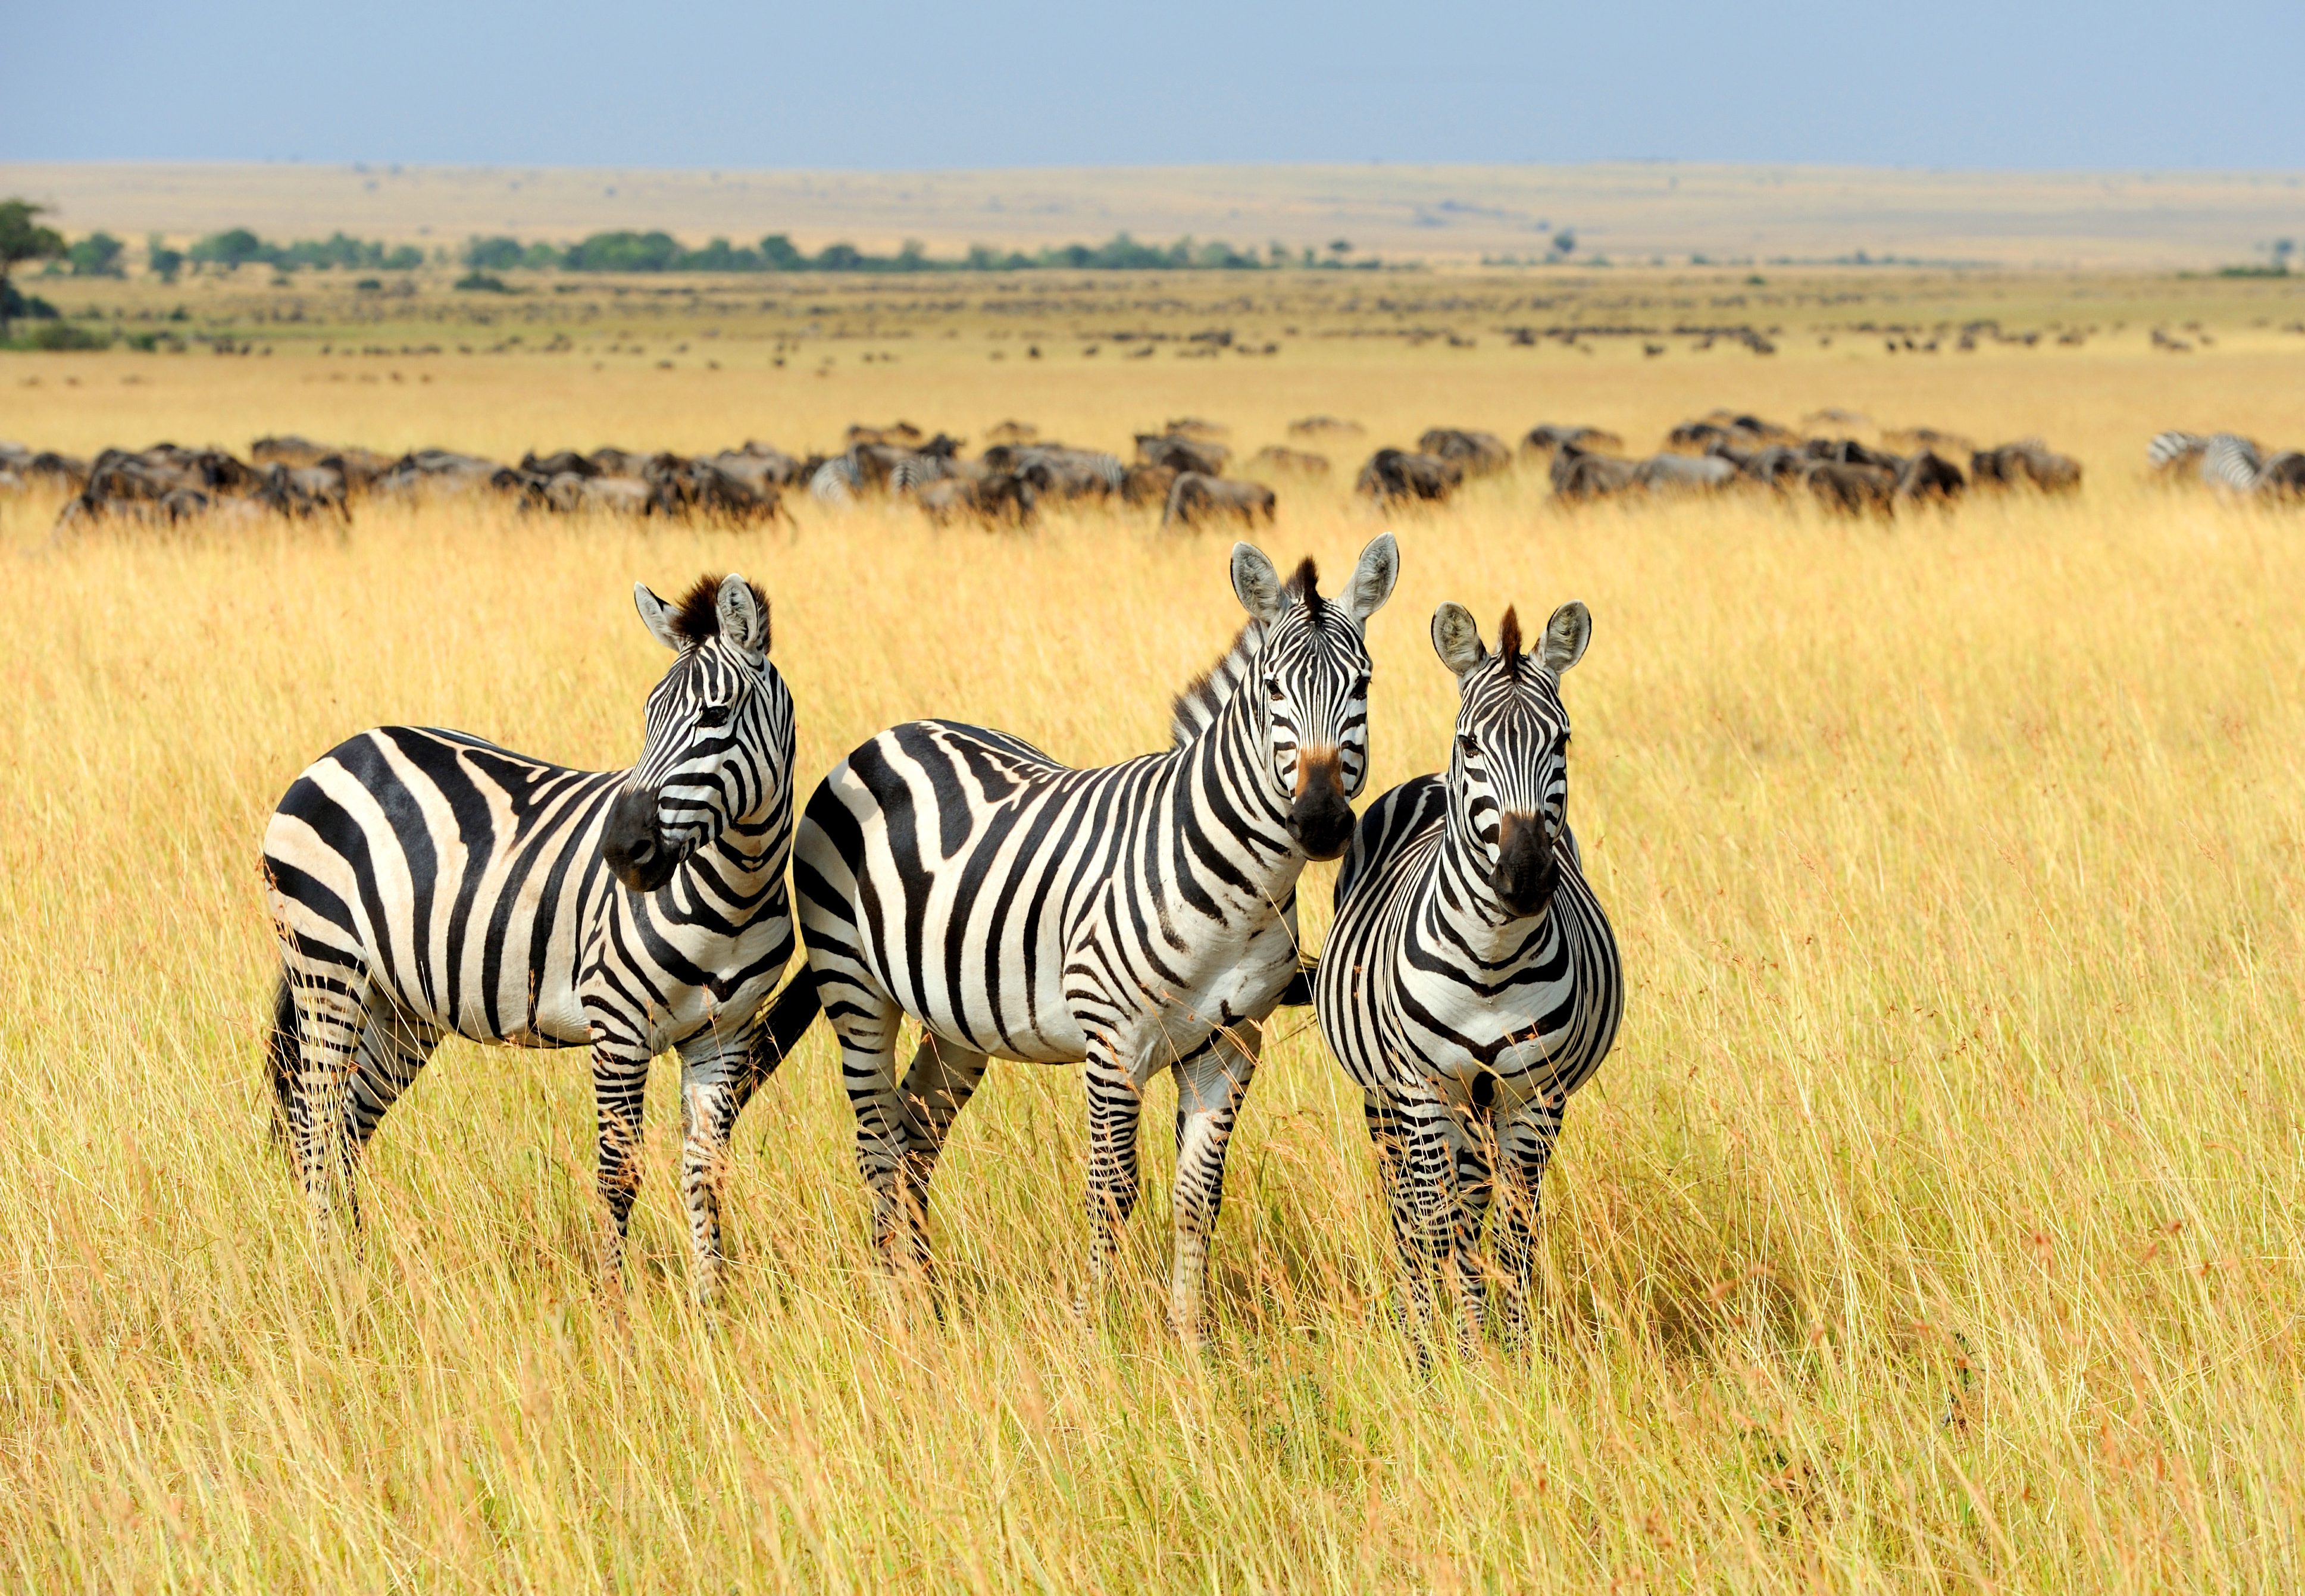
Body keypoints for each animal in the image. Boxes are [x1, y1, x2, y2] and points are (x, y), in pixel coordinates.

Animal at [261, 573, 810, 1303]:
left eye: (715, 716)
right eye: (647, 715)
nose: (622, 852)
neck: (735, 894)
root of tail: (343, 749)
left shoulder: (724, 1037)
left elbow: (704, 1172)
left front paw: (710, 1307)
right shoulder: (618, 1026)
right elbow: (618, 1174)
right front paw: (613, 1308)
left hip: (399, 1006)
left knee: (348, 1124)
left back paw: (356, 1266)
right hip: (327, 969)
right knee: (313, 1123)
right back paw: (329, 1274)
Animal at [784, 534, 1399, 1337]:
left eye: (1362, 686)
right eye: (1271, 690)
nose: (1322, 821)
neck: (1236, 885)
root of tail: (892, 733)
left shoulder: (1230, 1046)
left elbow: (1199, 1196)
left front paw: (1190, 1339)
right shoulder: (1114, 1041)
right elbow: (1113, 1190)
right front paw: (1095, 1334)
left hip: (957, 1017)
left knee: (916, 1133)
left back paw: (927, 1295)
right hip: (854, 986)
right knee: (878, 1143)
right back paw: (897, 1307)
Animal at [1313, 599, 1621, 1346]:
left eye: (1562, 741)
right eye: (1472, 744)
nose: (1526, 878)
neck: (1492, 957)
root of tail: (1428, 777)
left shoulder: (1536, 1097)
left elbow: (1512, 1233)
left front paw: (1509, 1350)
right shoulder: (1422, 1090)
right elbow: (1437, 1226)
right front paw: (1446, 1355)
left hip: (1482, 1106)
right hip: (1389, 1098)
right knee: (1408, 1210)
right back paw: (1416, 1326)